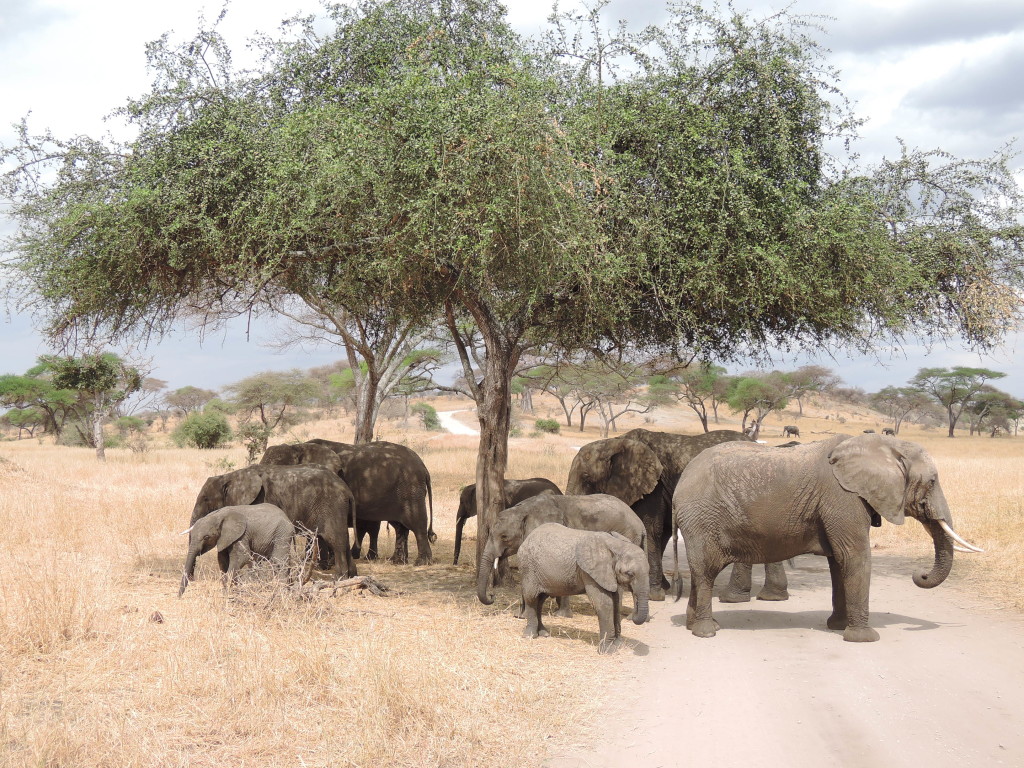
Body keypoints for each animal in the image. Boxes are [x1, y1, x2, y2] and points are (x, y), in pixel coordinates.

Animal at [190, 462, 358, 581]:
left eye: (206, 499)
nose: (191, 578)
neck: (229, 477)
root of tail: (346, 489)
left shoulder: (258, 501)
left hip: (332, 505)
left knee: (336, 541)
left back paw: (340, 579)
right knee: (344, 539)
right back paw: (352, 576)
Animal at [475, 495, 643, 618]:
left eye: (504, 537)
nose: (492, 595)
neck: (523, 510)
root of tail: (640, 524)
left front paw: (559, 615)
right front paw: (520, 616)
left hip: (626, 537)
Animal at [516, 528, 651, 655]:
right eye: (630, 574)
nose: (632, 617)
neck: (616, 545)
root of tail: (527, 538)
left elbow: (617, 602)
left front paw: (618, 645)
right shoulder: (589, 572)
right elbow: (604, 603)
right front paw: (608, 651)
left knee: (540, 599)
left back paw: (543, 633)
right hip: (528, 569)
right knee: (532, 598)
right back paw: (530, 635)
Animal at [565, 428, 749, 602]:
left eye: (586, 478)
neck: (613, 442)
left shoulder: (654, 486)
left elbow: (651, 529)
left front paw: (653, 594)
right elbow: (662, 532)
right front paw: (663, 587)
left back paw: (732, 598)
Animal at [671, 434, 983, 643]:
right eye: (932, 481)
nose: (921, 575)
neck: (885, 445)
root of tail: (681, 482)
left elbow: (838, 562)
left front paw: (838, 626)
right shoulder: (843, 498)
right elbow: (854, 556)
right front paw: (864, 638)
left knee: (700, 572)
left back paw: (695, 625)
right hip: (702, 518)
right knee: (705, 571)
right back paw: (707, 632)